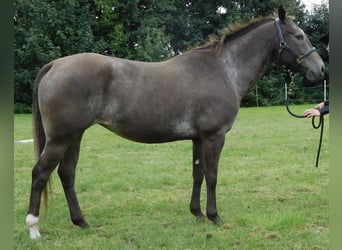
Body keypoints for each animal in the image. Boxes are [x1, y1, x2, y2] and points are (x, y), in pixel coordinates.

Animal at [25, 6, 324, 239]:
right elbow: (212, 176)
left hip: (75, 136)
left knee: (66, 174)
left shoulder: (198, 138)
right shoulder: (214, 136)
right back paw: (33, 228)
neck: (223, 69)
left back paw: (82, 222)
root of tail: (55, 65)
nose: (320, 70)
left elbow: (197, 174)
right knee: (40, 173)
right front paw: (214, 217)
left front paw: (197, 214)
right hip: (60, 138)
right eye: (299, 36)